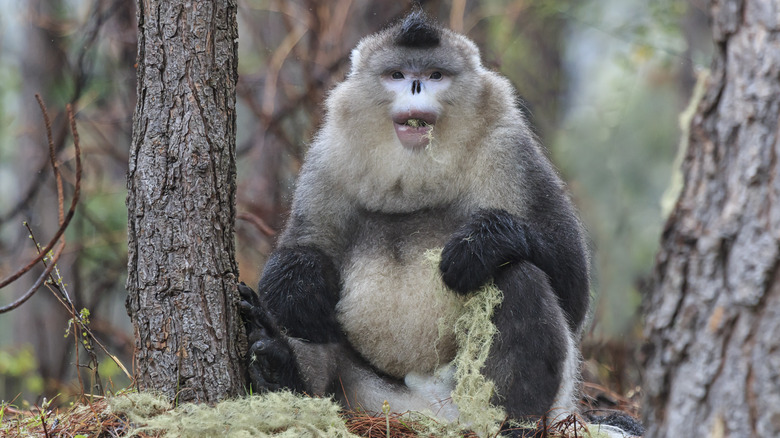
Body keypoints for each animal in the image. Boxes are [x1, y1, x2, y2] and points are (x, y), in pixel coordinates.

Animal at [241, 9, 588, 432]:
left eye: (435, 74)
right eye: (398, 74)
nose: (417, 85)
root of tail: (428, 408)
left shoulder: (510, 150)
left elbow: (573, 287)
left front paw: (482, 244)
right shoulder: (327, 159)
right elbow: (301, 255)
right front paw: (297, 282)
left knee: (519, 276)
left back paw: (510, 423)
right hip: (367, 396)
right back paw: (280, 370)